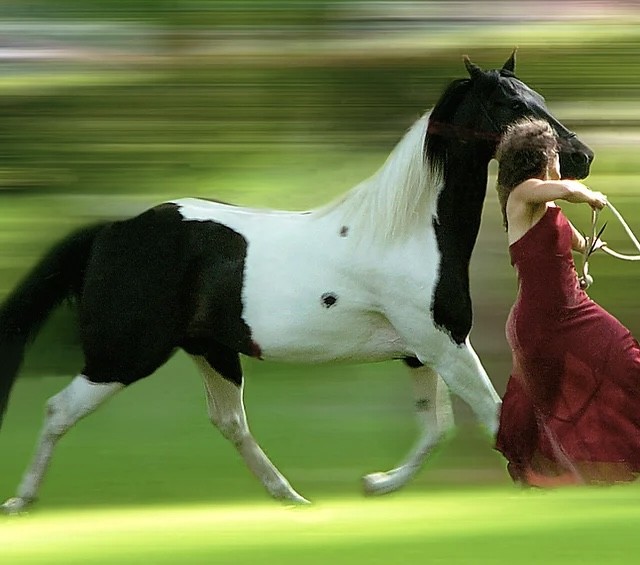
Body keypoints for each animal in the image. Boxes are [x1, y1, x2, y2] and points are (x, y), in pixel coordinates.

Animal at [0, 52, 593, 513]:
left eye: (537, 96)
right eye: (510, 104)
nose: (581, 157)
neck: (406, 231)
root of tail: (112, 231)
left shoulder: (419, 351)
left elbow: (436, 427)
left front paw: (376, 485)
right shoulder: (442, 344)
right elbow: (493, 415)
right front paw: (549, 484)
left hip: (211, 352)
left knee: (230, 422)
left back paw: (291, 497)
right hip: (124, 356)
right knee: (58, 411)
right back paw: (21, 501)